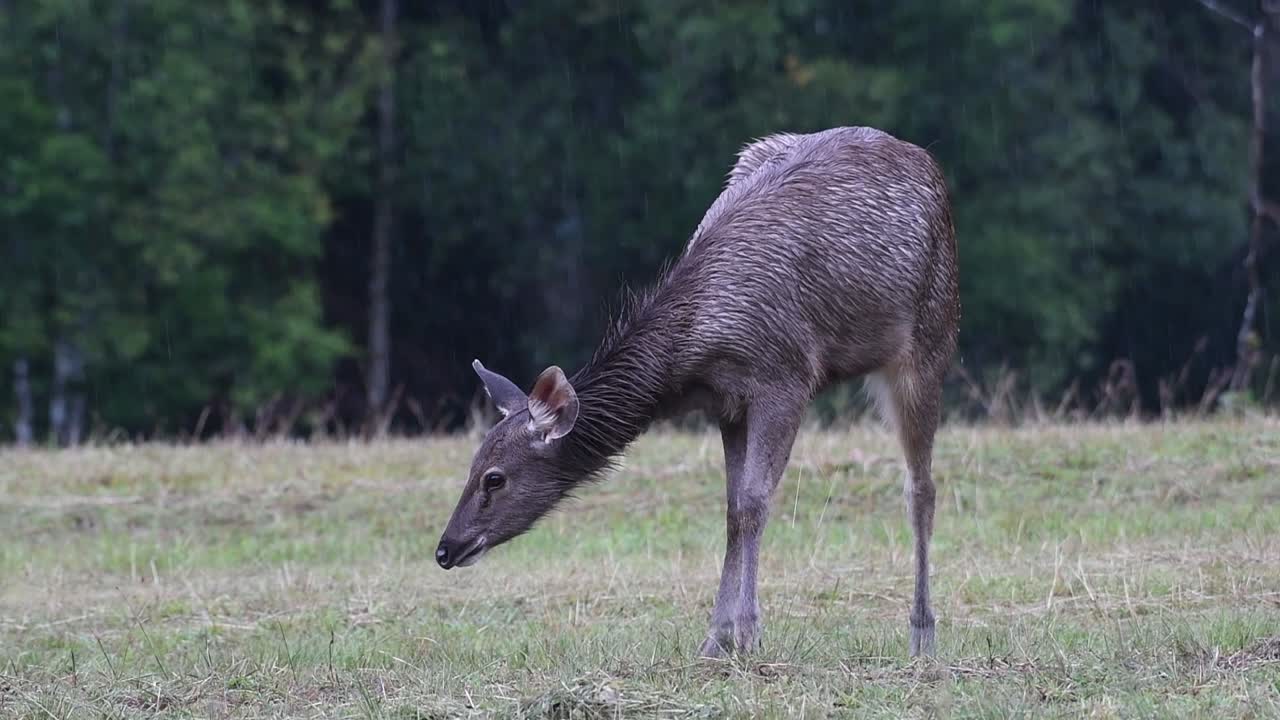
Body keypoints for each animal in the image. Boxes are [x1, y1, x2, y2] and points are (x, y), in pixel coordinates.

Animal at [436, 126, 959, 658]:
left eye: (494, 478)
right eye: (473, 465)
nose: (445, 548)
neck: (697, 349)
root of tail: (928, 162)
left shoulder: (786, 379)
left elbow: (755, 502)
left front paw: (747, 633)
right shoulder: (727, 405)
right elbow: (732, 509)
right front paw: (715, 639)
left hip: (932, 333)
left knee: (921, 486)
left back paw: (922, 633)